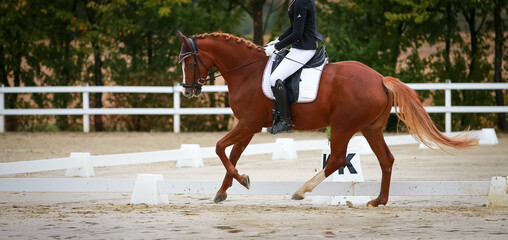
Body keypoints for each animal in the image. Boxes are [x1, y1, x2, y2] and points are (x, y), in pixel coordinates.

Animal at [177, 31, 478, 207]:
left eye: (189, 62)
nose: (189, 90)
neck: (246, 71)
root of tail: (380, 79)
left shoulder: (248, 123)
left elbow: (220, 148)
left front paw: (241, 180)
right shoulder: (249, 126)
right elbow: (232, 154)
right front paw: (224, 190)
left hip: (343, 126)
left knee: (337, 159)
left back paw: (301, 191)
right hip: (370, 128)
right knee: (386, 159)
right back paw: (378, 201)